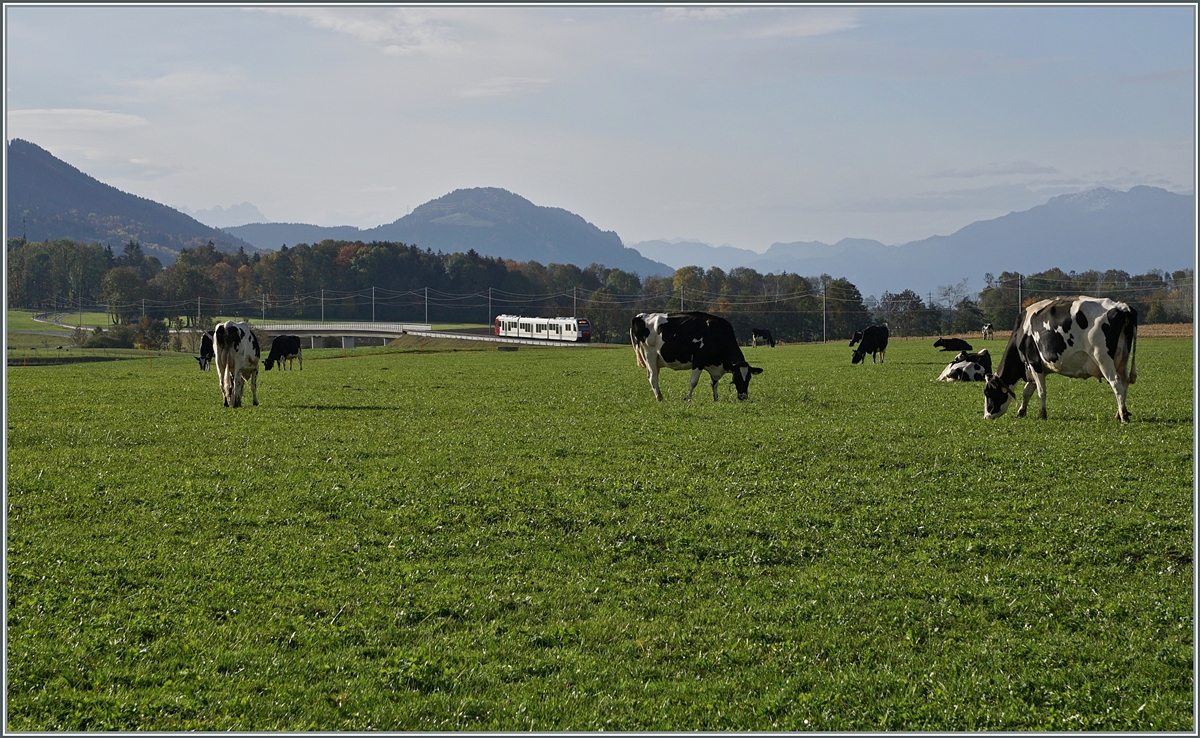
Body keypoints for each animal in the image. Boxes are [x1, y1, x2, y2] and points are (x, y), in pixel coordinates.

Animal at [633, 312, 763, 403]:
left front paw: (716, 398)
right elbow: (693, 382)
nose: (744, 396)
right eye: (736, 377)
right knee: (653, 377)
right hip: (650, 355)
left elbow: (714, 383)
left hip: (656, 360)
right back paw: (659, 398)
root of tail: (641, 316)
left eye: (749, 378)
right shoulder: (698, 361)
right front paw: (688, 398)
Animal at [979, 294, 1137, 422]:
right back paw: (1119, 413)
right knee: (1124, 382)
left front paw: (1042, 414)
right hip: (1122, 359)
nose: (986, 416)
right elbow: (1027, 392)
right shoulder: (1035, 368)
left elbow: (1041, 391)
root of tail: (1122, 307)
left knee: (1116, 382)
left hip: (1102, 357)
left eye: (988, 392)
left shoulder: (1034, 362)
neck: (1021, 332)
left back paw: (1123, 416)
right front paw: (1021, 411)